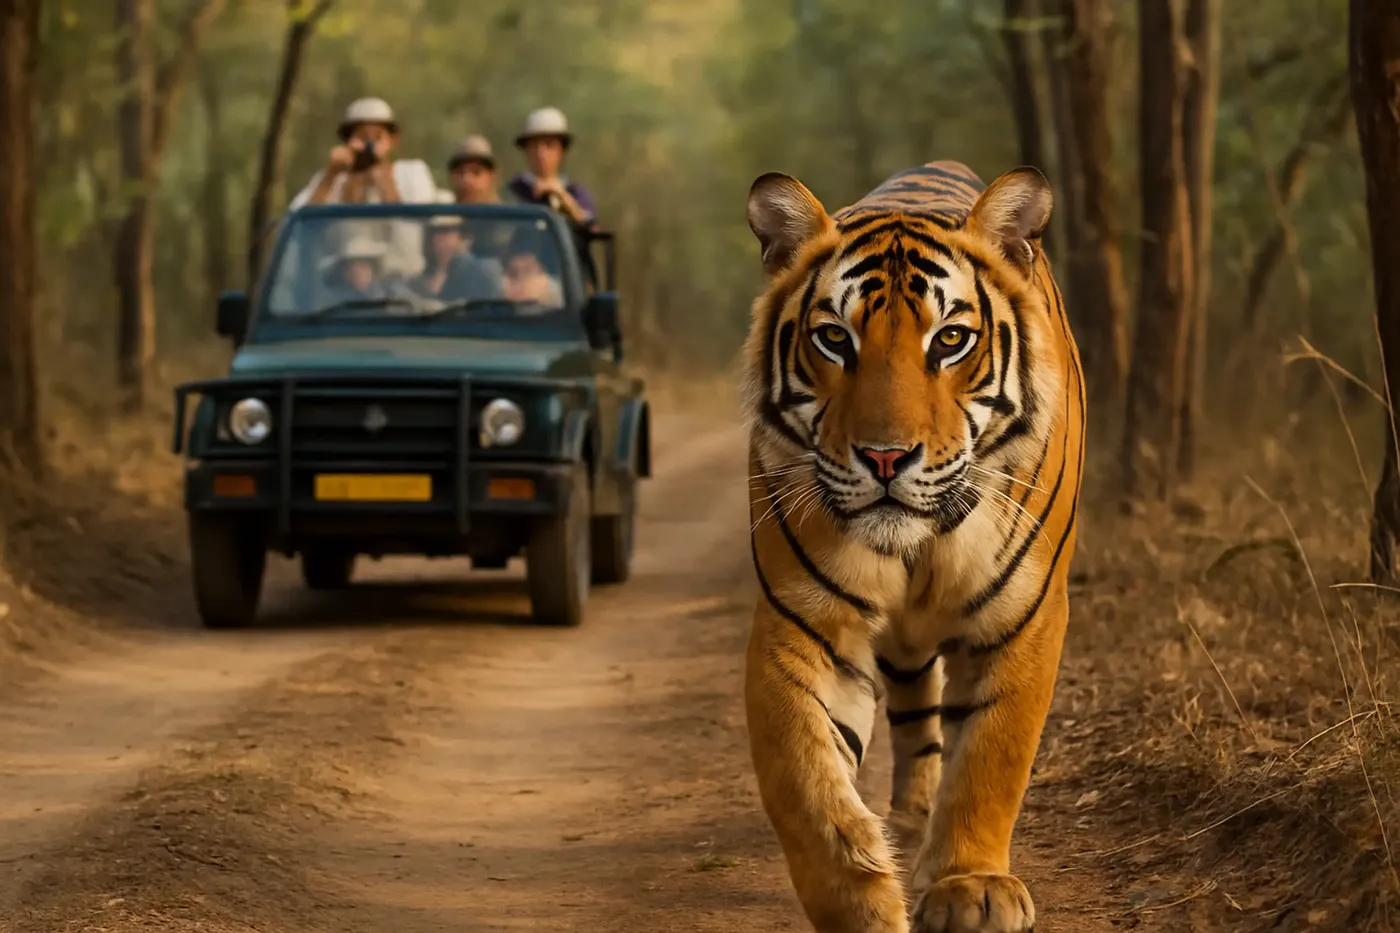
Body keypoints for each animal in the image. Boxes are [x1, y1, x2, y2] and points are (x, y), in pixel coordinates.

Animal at [741, 160, 1085, 933]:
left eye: (950, 340)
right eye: (834, 339)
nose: (886, 458)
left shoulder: (1025, 614)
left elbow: (991, 755)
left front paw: (971, 887)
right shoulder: (802, 623)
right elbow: (804, 778)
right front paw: (863, 900)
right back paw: (904, 818)